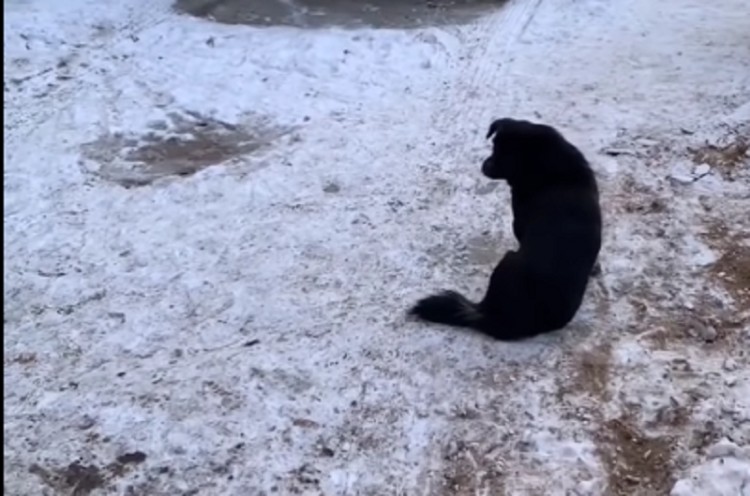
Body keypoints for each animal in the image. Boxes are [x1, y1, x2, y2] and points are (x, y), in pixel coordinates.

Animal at [412, 117, 604, 340]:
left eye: (504, 157)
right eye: (494, 147)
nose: (484, 165)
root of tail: (493, 317)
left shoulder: (518, 222)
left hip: (507, 260)